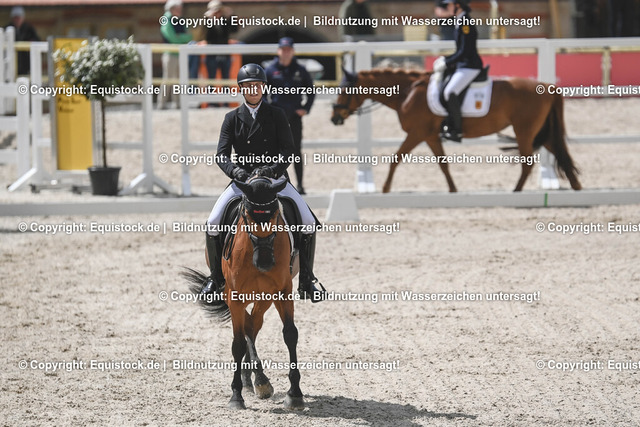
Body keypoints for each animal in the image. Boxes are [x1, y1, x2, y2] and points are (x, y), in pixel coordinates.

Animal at [183, 174, 304, 410]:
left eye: (275, 215)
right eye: (247, 216)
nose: (265, 262)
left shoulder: (282, 291)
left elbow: (290, 334)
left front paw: (295, 394)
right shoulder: (235, 297)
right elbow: (237, 343)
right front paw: (236, 396)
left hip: (264, 296)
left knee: (253, 324)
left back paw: (256, 380)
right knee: (248, 327)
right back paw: (256, 380)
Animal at [331, 68, 582, 193]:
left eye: (345, 90)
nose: (334, 118)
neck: (407, 92)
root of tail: (547, 86)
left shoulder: (417, 133)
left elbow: (396, 158)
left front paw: (384, 189)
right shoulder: (430, 136)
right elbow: (443, 164)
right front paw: (453, 189)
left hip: (525, 131)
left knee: (528, 163)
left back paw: (517, 191)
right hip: (538, 132)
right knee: (559, 152)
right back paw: (576, 187)